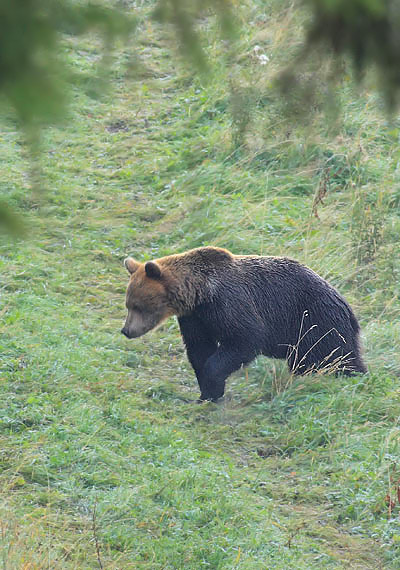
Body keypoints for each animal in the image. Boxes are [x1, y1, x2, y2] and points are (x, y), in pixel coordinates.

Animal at [121, 245, 366, 400]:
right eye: (129, 304)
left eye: (138, 305)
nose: (126, 330)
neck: (201, 293)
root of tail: (347, 306)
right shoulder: (195, 317)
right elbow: (199, 349)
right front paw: (207, 392)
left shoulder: (230, 304)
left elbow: (245, 339)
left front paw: (212, 384)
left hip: (317, 322)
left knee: (337, 357)